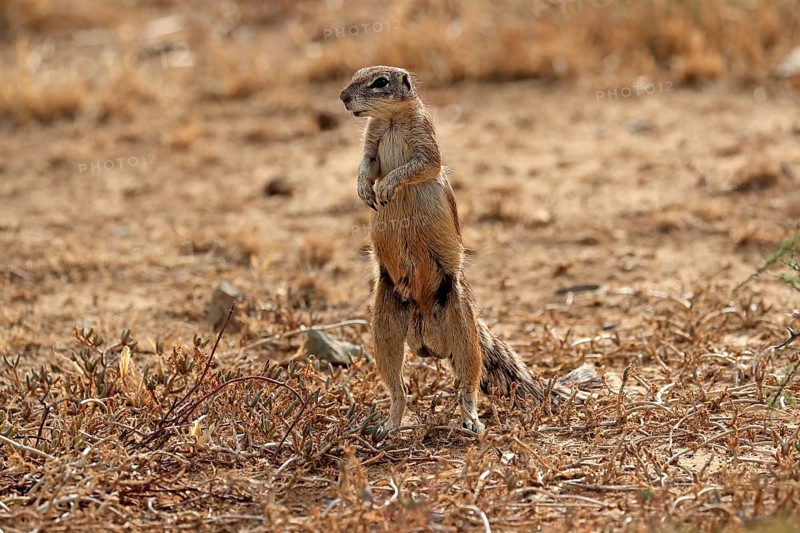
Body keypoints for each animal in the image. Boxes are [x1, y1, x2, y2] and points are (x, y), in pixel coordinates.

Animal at [339, 66, 600, 434]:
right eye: (354, 75)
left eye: (380, 82)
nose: (343, 97)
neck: (390, 120)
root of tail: (425, 338)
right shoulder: (371, 139)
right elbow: (367, 164)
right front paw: (364, 188)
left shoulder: (426, 140)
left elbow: (419, 166)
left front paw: (388, 186)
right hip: (385, 327)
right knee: (397, 386)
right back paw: (389, 426)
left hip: (462, 329)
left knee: (468, 383)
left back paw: (471, 421)